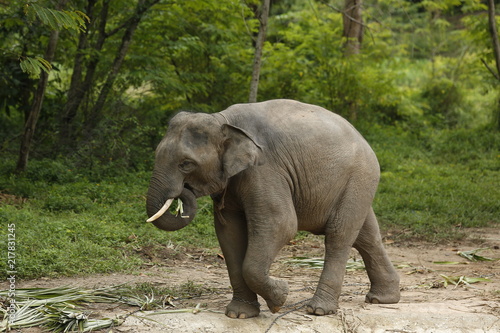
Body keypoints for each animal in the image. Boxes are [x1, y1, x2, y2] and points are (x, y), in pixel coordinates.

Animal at [145, 99, 398, 320]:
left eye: (186, 164)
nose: (182, 193)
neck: (222, 119)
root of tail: (363, 139)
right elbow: (229, 233)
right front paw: (240, 314)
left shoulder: (265, 169)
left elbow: (281, 224)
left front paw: (280, 298)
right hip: (356, 184)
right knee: (367, 236)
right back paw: (382, 299)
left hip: (359, 176)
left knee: (339, 235)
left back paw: (319, 310)